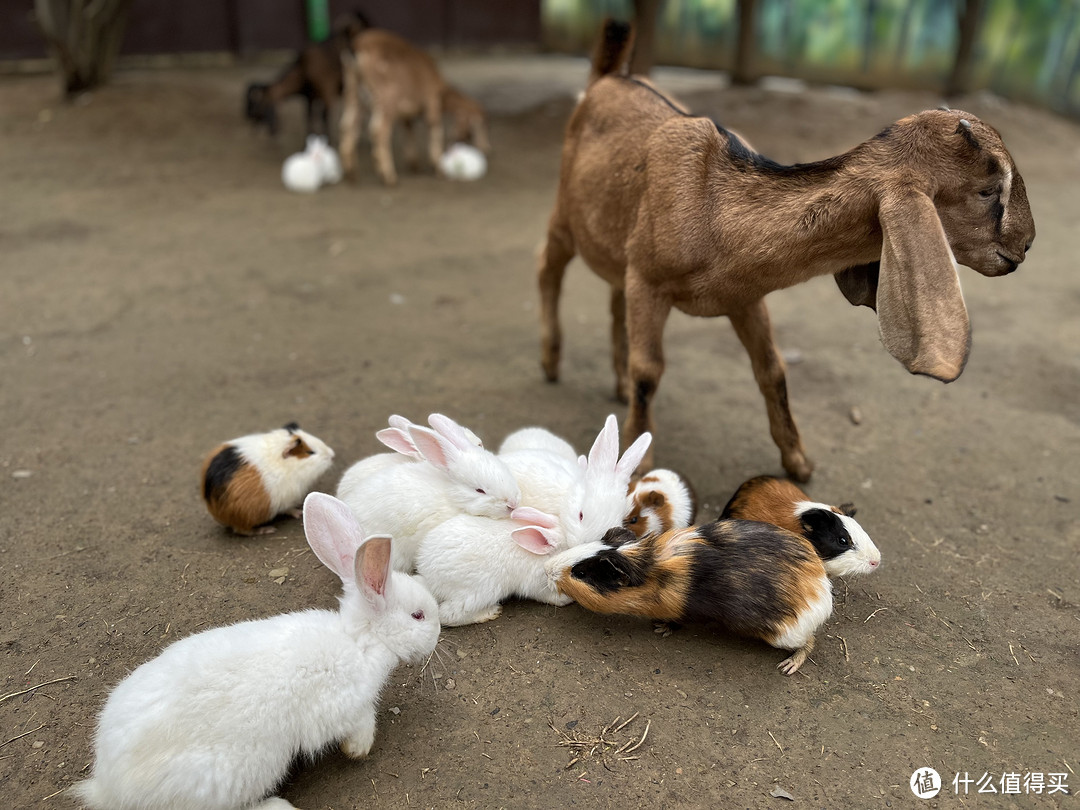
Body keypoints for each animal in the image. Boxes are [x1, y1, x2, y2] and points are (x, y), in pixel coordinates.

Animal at [71, 492, 438, 810]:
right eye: (418, 615)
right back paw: (279, 806)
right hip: (240, 773)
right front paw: (359, 749)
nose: (436, 638)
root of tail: (110, 789)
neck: (358, 642)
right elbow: (362, 725)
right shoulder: (347, 708)